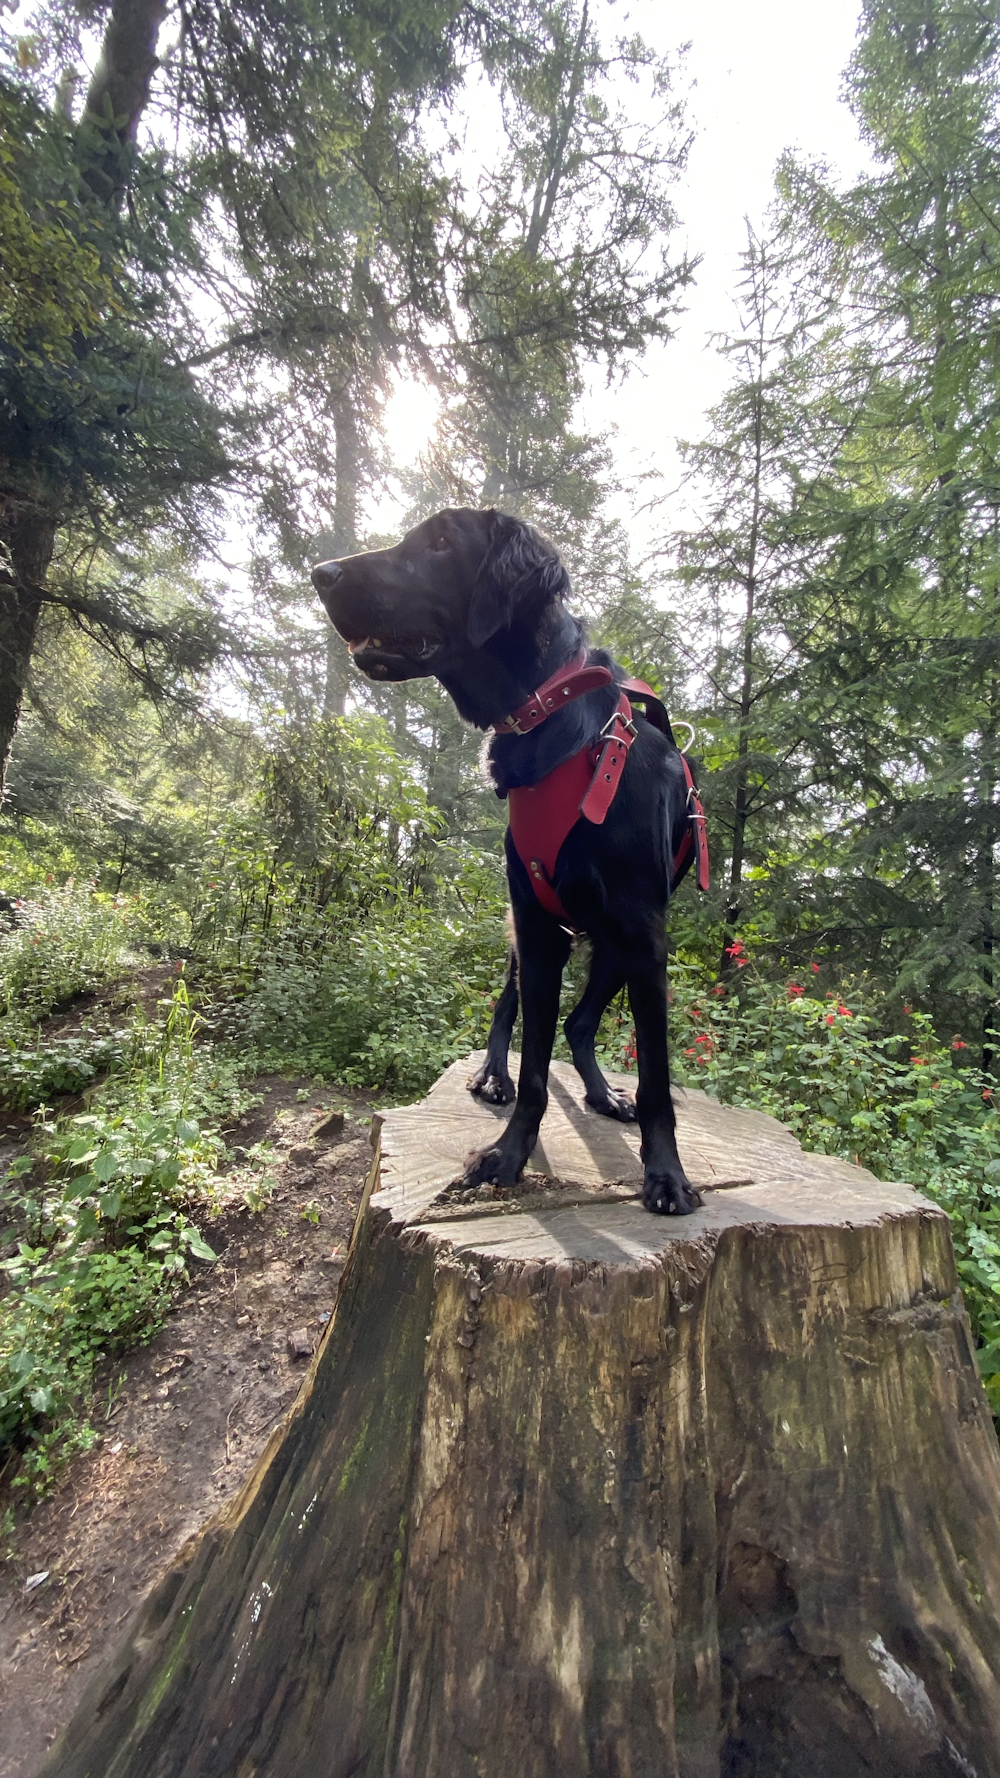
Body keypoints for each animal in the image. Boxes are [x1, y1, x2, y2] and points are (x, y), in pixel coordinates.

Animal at [313, 508, 701, 1216]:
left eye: (442, 542)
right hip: (535, 932)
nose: (321, 573)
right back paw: (493, 1074)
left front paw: (666, 1176)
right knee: (511, 1008)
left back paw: (604, 1094)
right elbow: (533, 1070)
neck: (553, 719)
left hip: (611, 946)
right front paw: (508, 1154)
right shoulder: (538, 927)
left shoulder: (645, 936)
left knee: (579, 1023)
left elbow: (656, 1079)